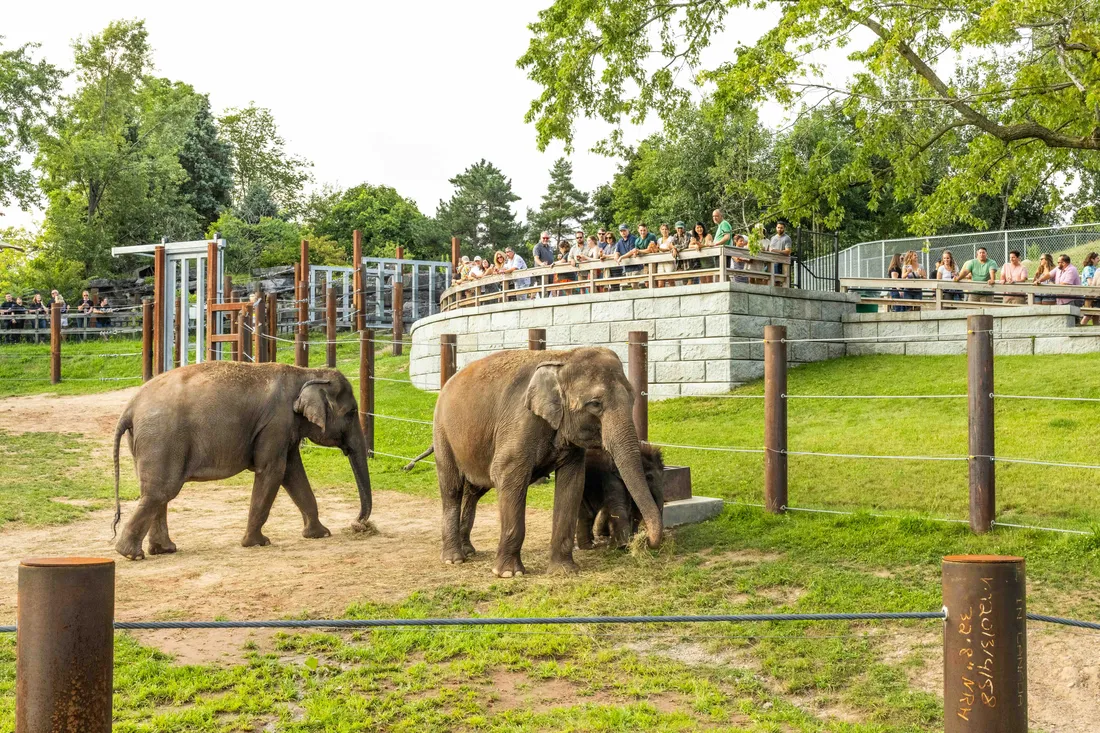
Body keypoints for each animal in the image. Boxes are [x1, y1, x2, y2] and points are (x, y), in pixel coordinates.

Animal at [111, 361, 373, 560]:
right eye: (351, 412)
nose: (358, 523)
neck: (305, 373)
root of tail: (130, 407)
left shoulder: (285, 428)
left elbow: (293, 473)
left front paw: (321, 534)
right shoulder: (276, 423)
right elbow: (273, 471)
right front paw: (257, 543)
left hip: (147, 442)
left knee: (156, 493)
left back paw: (163, 550)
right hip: (162, 438)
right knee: (161, 491)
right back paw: (131, 554)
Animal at [431, 346, 663, 577]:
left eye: (633, 400)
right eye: (595, 404)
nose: (644, 541)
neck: (563, 357)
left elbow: (572, 484)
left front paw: (564, 570)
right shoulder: (520, 422)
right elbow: (507, 475)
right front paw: (508, 573)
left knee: (473, 491)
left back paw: (468, 550)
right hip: (442, 433)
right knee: (452, 488)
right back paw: (454, 559)